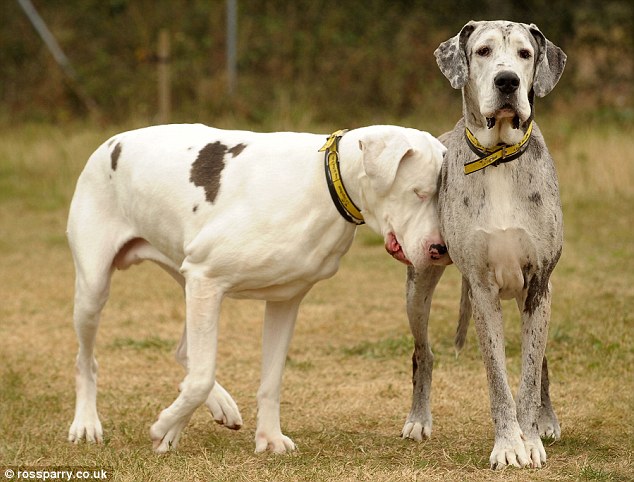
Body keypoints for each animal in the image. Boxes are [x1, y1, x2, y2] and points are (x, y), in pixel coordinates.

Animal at [66, 123, 446, 452]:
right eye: (418, 193)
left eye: (440, 198)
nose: (440, 249)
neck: (323, 184)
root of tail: (110, 142)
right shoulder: (207, 280)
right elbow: (201, 377)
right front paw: (164, 427)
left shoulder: (283, 300)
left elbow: (270, 381)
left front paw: (269, 437)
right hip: (96, 290)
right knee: (87, 361)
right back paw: (86, 423)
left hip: (186, 279)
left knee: (185, 351)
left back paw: (220, 405)